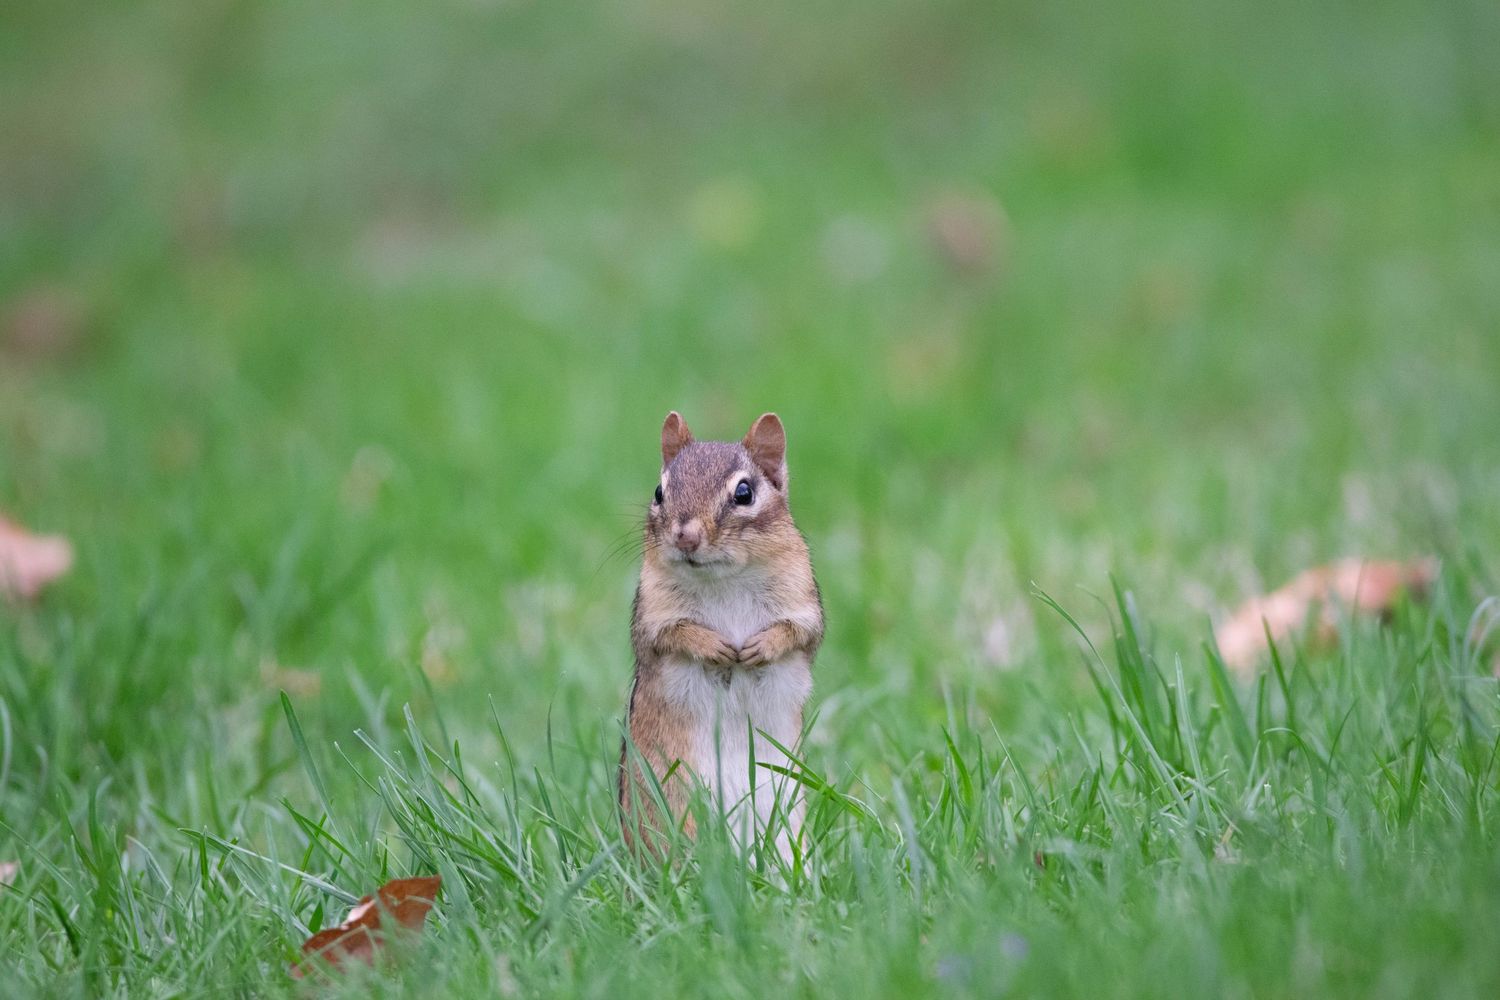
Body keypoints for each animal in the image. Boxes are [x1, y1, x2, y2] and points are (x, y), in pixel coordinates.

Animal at [618, 411, 824, 854]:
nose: (685, 536)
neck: (725, 579)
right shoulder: (653, 616)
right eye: (659, 491)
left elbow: (799, 633)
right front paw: (713, 647)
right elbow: (672, 635)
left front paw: (760, 647)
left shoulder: (805, 604)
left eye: (744, 493)